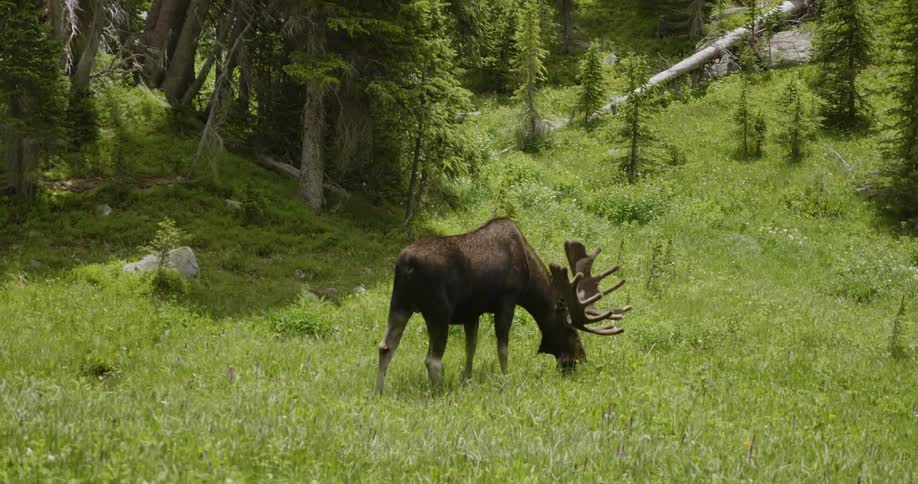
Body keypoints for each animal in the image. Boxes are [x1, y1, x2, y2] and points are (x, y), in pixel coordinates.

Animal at [375, 218, 633, 394]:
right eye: (570, 330)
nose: (580, 359)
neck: (529, 282)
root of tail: (405, 265)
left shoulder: (472, 311)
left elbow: (471, 348)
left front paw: (467, 379)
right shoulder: (507, 300)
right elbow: (503, 348)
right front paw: (505, 379)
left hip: (399, 304)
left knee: (385, 346)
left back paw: (378, 392)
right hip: (438, 312)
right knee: (432, 360)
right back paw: (441, 393)